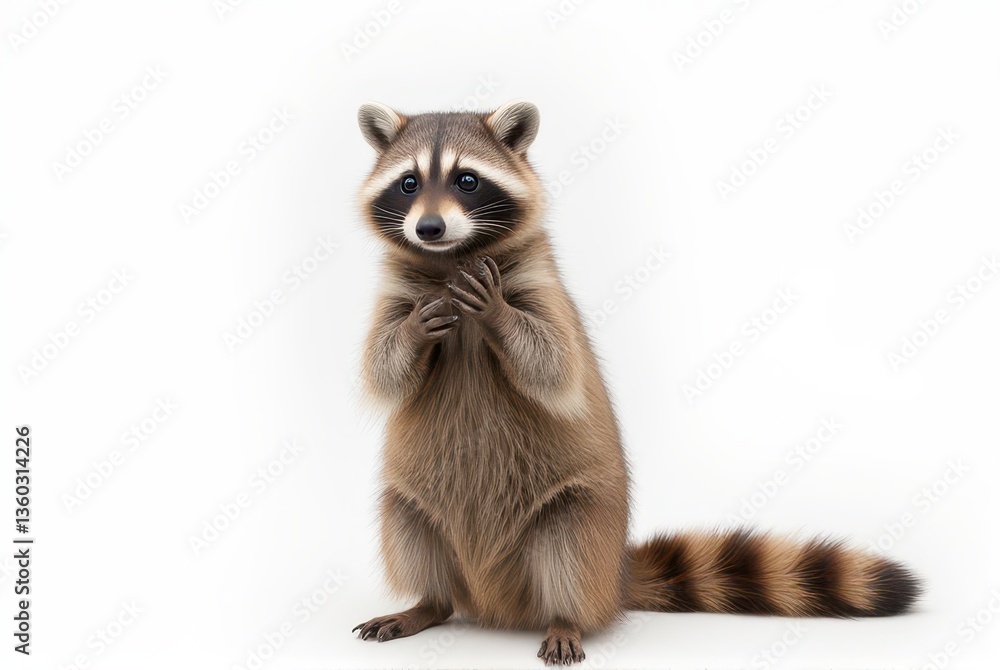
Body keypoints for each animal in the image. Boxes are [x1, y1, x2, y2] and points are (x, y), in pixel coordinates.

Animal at [351, 100, 920, 665]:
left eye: (466, 180)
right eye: (408, 183)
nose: (428, 228)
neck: (452, 260)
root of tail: (492, 600)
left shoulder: (541, 285)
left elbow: (553, 364)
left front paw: (497, 316)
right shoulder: (395, 292)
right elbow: (382, 371)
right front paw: (413, 331)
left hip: (582, 511)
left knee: (570, 550)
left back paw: (565, 617)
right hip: (416, 499)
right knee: (406, 525)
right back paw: (428, 602)